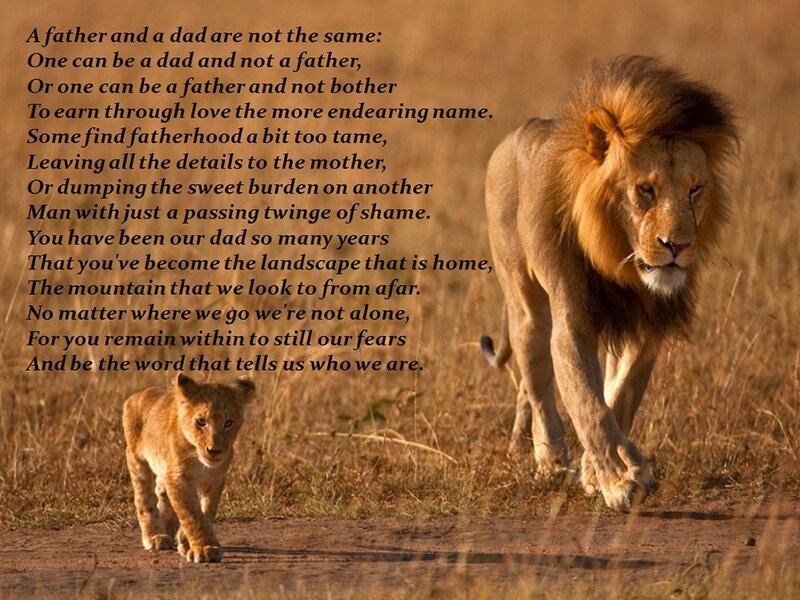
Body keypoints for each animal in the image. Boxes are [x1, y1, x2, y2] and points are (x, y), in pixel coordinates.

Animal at [123, 373, 256, 562]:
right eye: (201, 422)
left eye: (228, 423)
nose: (214, 451)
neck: (200, 461)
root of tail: (139, 394)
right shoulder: (178, 477)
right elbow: (192, 513)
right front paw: (205, 548)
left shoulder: (216, 479)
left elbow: (206, 512)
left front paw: (185, 541)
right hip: (137, 460)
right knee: (144, 499)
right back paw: (155, 536)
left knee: (162, 493)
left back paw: (169, 530)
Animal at [481, 55, 737, 510]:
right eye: (645, 189)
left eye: (695, 190)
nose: (677, 246)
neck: (622, 261)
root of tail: (514, 134)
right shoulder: (573, 322)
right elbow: (590, 406)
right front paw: (618, 482)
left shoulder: (646, 327)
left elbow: (618, 399)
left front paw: (600, 473)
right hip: (526, 305)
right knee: (538, 386)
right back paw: (550, 462)